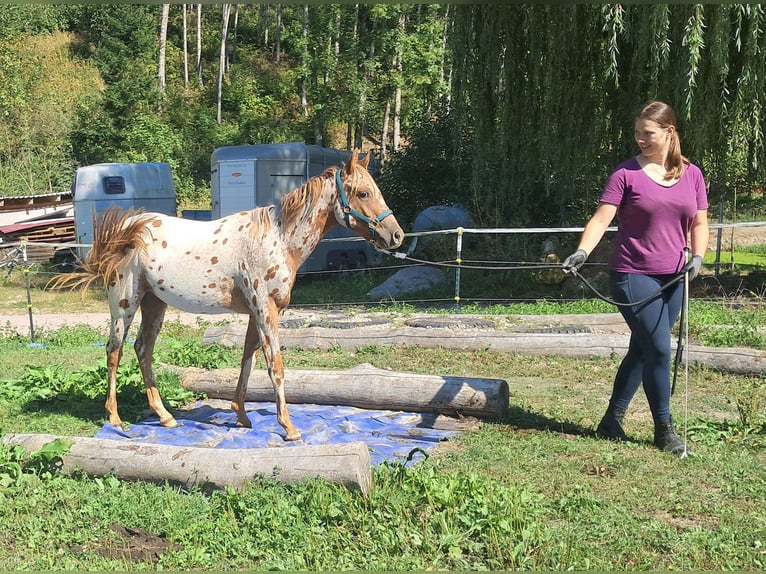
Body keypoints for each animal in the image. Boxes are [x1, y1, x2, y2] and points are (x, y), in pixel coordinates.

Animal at [57, 152, 404, 440]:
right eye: (363, 193)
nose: (396, 235)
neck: (277, 238)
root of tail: (126, 229)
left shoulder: (256, 313)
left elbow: (248, 360)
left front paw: (242, 416)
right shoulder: (266, 310)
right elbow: (274, 365)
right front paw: (289, 428)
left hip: (155, 304)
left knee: (143, 350)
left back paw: (166, 417)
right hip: (125, 305)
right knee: (114, 352)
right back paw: (115, 419)